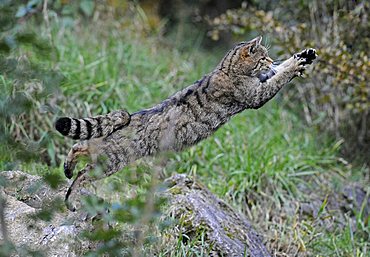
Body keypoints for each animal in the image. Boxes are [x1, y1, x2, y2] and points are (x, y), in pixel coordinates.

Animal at [55, 36, 318, 209]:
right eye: (263, 57)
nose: (270, 59)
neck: (227, 69)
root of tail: (127, 118)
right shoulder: (256, 95)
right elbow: (279, 77)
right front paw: (294, 64)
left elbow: (280, 70)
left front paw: (302, 56)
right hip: (111, 162)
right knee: (83, 174)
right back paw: (71, 199)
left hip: (102, 151)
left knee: (79, 146)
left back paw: (67, 168)